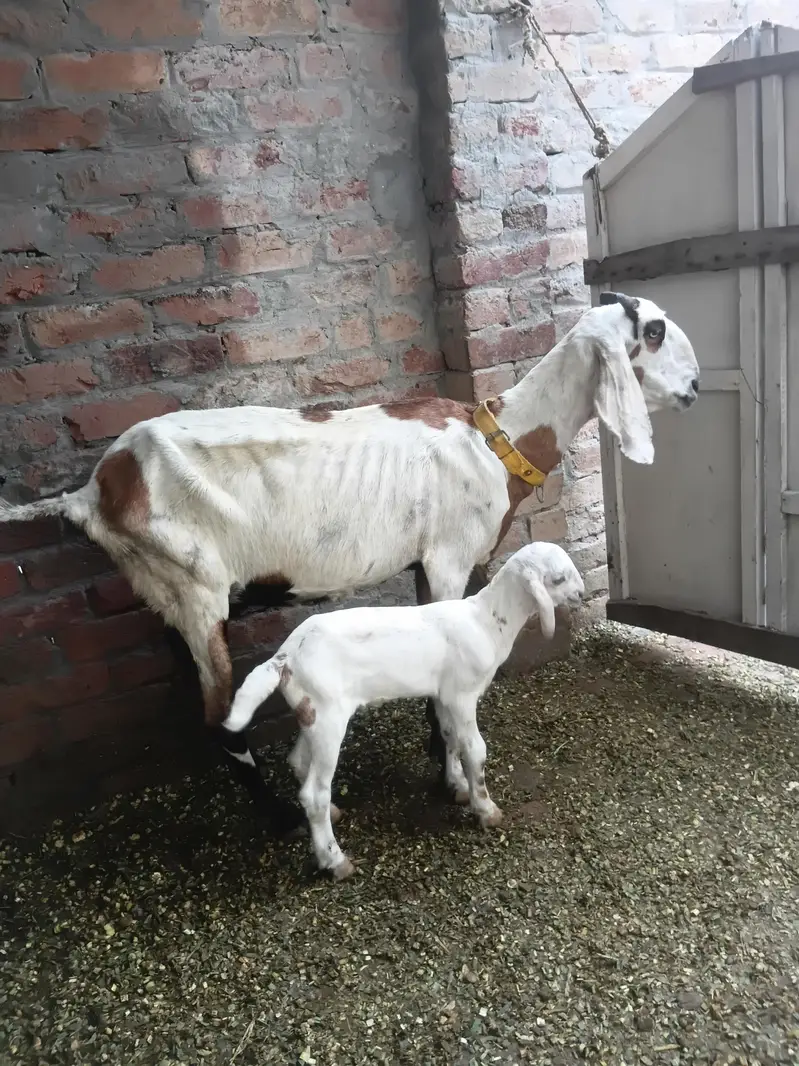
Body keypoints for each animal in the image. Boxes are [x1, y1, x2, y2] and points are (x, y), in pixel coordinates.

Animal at [0, 292, 699, 836]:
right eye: (654, 331)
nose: (695, 388)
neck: (495, 442)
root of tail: (95, 491)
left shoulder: (426, 564)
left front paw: (437, 759)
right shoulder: (447, 557)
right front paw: (452, 778)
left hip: (167, 595)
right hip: (196, 588)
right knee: (220, 720)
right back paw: (286, 820)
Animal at [224, 542, 585, 879]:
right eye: (558, 578)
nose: (581, 594)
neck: (486, 621)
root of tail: (283, 659)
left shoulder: (443, 694)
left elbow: (449, 736)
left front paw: (456, 785)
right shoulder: (462, 694)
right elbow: (475, 749)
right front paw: (486, 809)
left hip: (311, 711)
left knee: (299, 762)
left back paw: (333, 815)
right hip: (328, 717)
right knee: (314, 793)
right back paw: (335, 861)